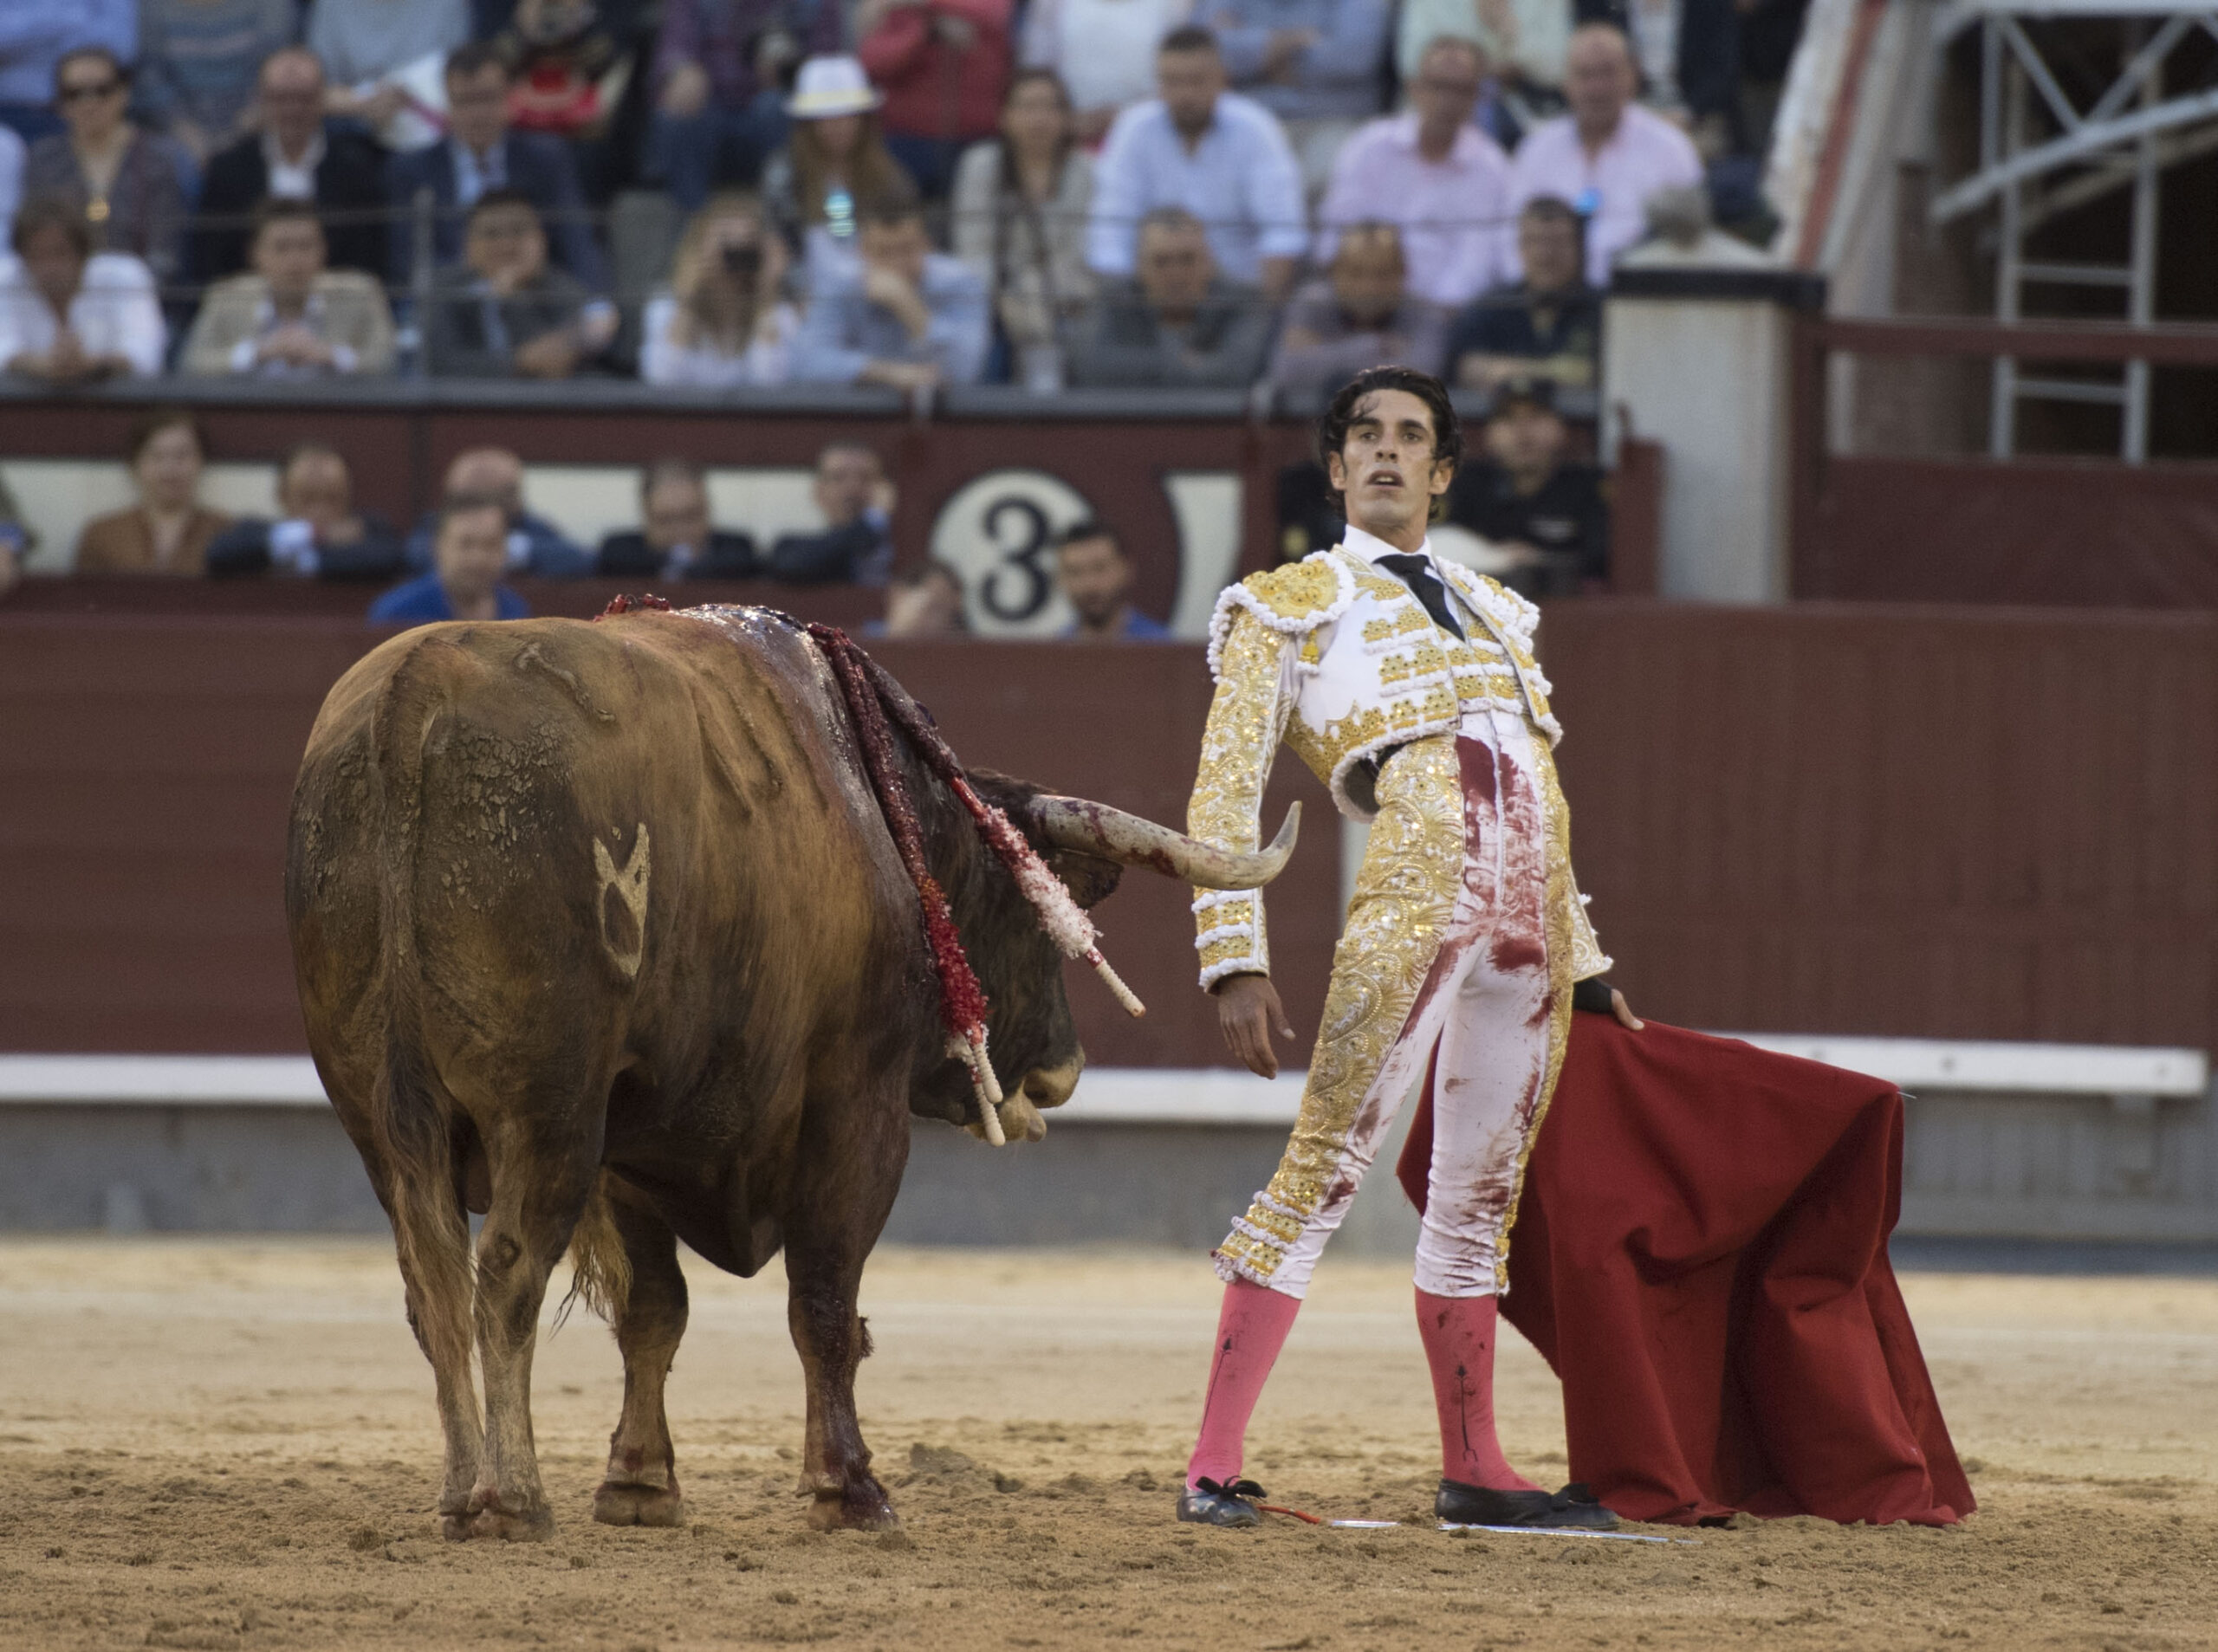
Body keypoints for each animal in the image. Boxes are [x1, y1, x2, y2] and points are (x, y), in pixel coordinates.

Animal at [284, 604, 1296, 1541]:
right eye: (1027, 902)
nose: (1059, 1071)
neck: (890, 822)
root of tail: (415, 694)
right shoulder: (854, 1106)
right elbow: (825, 1300)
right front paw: (850, 1490)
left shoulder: (635, 1138)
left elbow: (655, 1307)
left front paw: (639, 1485)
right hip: (547, 1111)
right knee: (505, 1274)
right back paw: (514, 1498)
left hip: (380, 1116)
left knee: (432, 1283)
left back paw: (462, 1493)